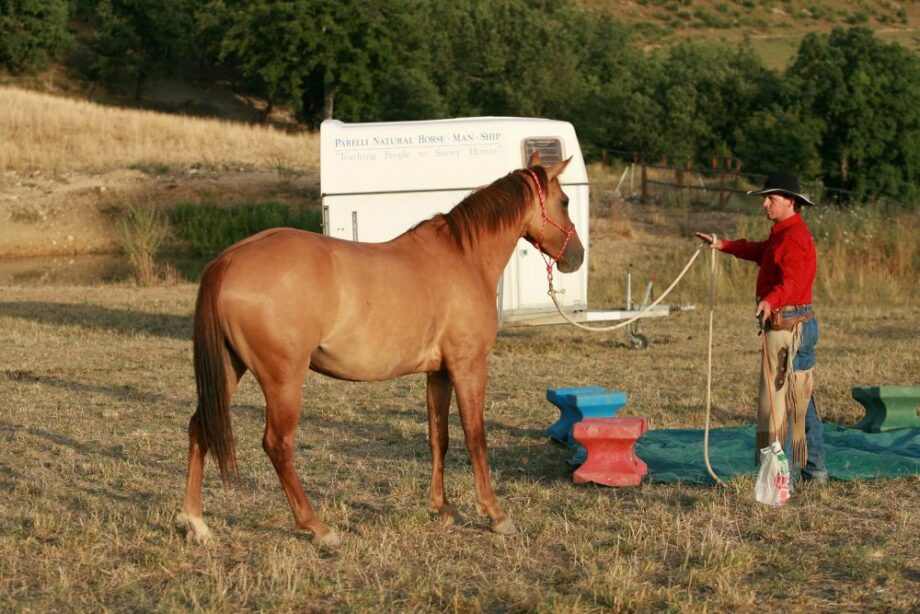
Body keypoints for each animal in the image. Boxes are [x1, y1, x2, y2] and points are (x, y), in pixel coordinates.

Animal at [178, 152, 584, 547]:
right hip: (283, 380)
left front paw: (443, 508)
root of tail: (228, 260)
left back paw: (197, 523)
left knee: (200, 427)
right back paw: (318, 528)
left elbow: (439, 437)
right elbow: (475, 437)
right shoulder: (469, 366)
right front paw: (495, 515)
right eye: (564, 201)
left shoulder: (439, 372)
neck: (463, 256)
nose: (576, 256)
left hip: (229, 369)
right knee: (277, 444)